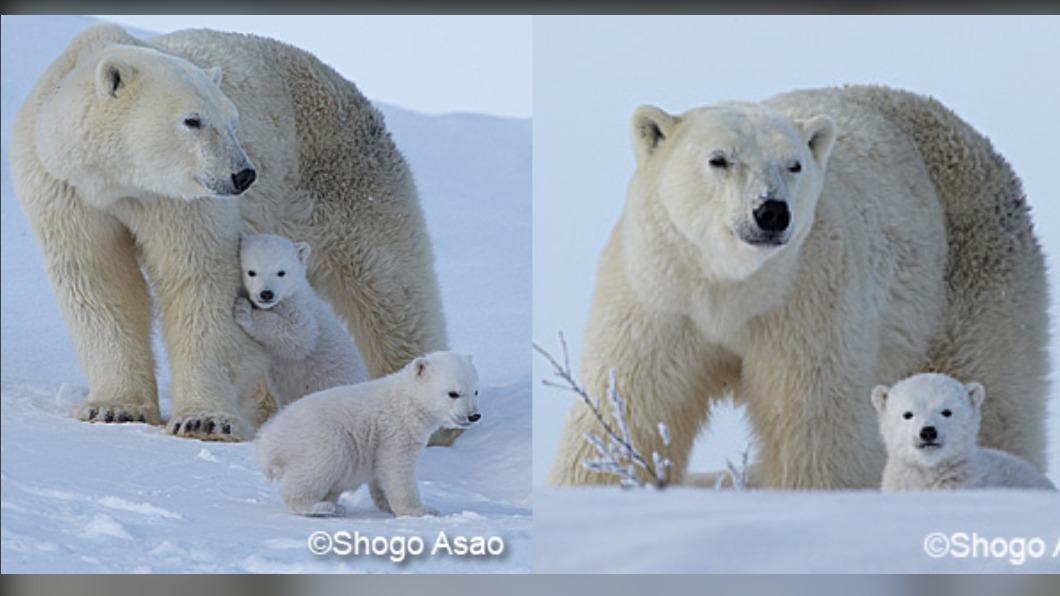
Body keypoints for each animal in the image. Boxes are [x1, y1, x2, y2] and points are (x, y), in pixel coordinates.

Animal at [233, 233, 368, 406]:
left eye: (281, 272)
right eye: (251, 272)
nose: (266, 294)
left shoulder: (299, 307)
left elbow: (300, 334)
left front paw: (244, 311)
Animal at [257, 351, 482, 517]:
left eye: (475, 391)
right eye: (453, 393)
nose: (474, 416)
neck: (408, 401)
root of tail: (269, 441)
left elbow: (380, 474)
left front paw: (387, 505)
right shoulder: (396, 430)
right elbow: (397, 468)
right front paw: (420, 510)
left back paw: (334, 505)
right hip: (321, 437)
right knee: (320, 465)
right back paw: (319, 507)